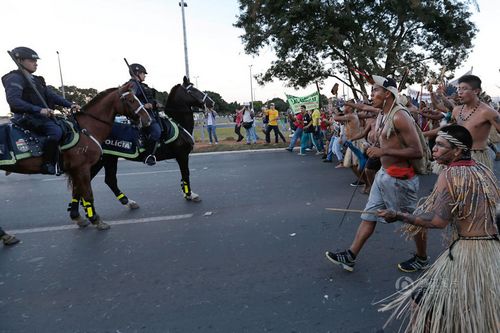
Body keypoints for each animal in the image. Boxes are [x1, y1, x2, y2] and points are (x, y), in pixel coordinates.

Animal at [1, 82, 150, 228]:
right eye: (131, 100)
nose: (147, 119)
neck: (86, 129)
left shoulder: (76, 170)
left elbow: (77, 191)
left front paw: (78, 216)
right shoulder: (82, 168)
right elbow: (88, 194)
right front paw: (95, 219)